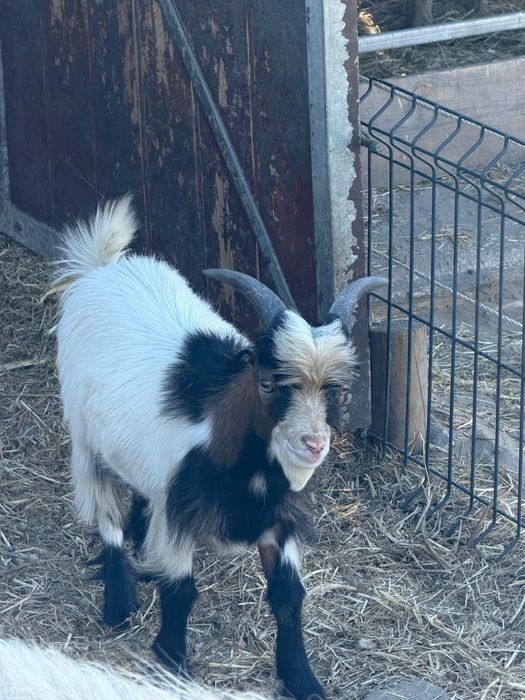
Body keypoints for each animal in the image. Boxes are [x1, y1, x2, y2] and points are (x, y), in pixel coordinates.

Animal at [55, 196, 386, 700]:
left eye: (337, 390)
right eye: (267, 382)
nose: (313, 444)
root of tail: (101, 269)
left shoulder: (279, 518)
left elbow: (289, 595)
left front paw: (302, 679)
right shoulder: (180, 514)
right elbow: (181, 591)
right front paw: (171, 664)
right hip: (85, 437)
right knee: (104, 512)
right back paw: (118, 602)